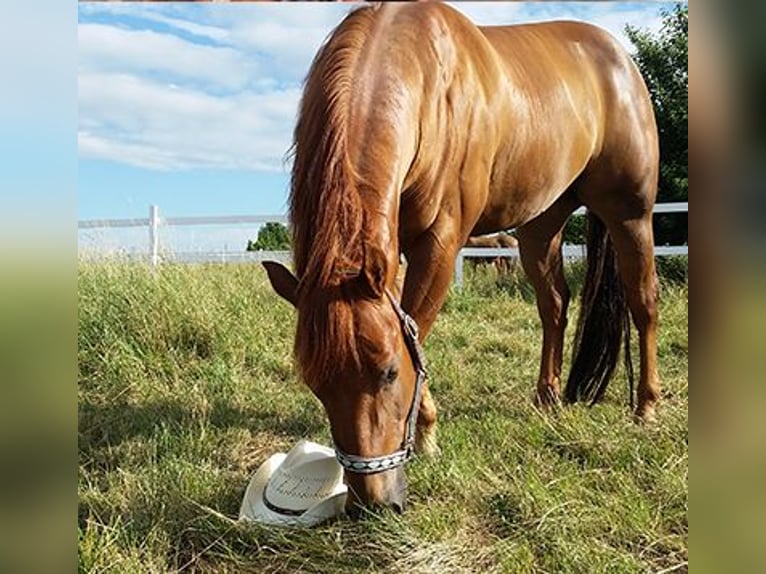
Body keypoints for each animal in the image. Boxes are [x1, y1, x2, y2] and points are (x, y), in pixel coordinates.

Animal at [264, 3, 660, 516]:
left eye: (389, 372)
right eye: (314, 383)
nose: (374, 504)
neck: (427, 83)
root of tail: (621, 59)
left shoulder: (440, 241)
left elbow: (418, 328)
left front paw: (427, 435)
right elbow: (412, 325)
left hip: (631, 214)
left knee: (643, 301)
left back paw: (647, 407)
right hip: (540, 227)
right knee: (554, 305)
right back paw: (547, 398)